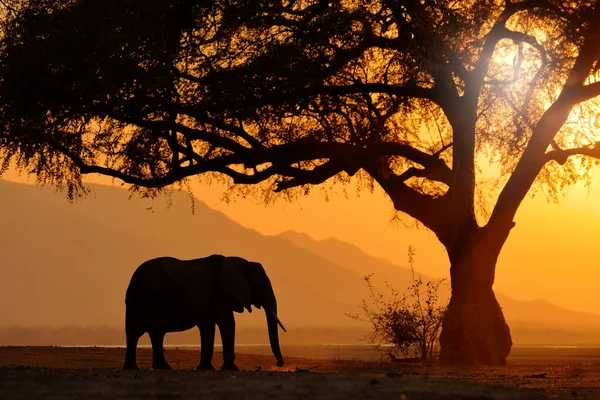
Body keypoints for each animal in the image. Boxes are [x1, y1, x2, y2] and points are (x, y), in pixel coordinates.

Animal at [122, 255, 286, 370]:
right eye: (260, 284)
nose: (279, 364)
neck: (239, 261)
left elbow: (208, 328)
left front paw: (206, 368)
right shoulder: (219, 295)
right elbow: (227, 324)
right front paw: (231, 369)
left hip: (136, 302)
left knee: (133, 333)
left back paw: (132, 368)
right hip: (154, 299)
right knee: (156, 333)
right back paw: (164, 368)